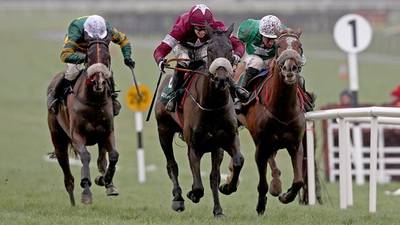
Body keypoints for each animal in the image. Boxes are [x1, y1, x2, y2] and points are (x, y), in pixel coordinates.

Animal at [46, 33, 118, 206]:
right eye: (89, 57)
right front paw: (86, 192)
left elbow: (113, 155)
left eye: (107, 56)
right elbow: (85, 156)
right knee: (67, 174)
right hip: (58, 138)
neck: (94, 100)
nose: (99, 82)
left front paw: (106, 181)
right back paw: (72, 202)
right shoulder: (77, 135)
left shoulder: (107, 131)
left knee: (101, 160)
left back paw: (107, 183)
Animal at [155, 24, 244, 218]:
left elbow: (234, 163)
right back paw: (178, 198)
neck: (212, 106)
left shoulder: (224, 141)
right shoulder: (194, 146)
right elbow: (197, 186)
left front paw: (226, 191)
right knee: (172, 165)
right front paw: (192, 195)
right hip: (163, 131)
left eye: (230, 50)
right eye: (210, 50)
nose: (221, 79)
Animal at [238, 28, 306, 214]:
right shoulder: (261, 145)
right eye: (278, 46)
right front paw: (261, 204)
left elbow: (299, 181)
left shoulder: (295, 144)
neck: (282, 109)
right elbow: (262, 183)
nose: (290, 68)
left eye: (299, 46)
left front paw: (286, 195)